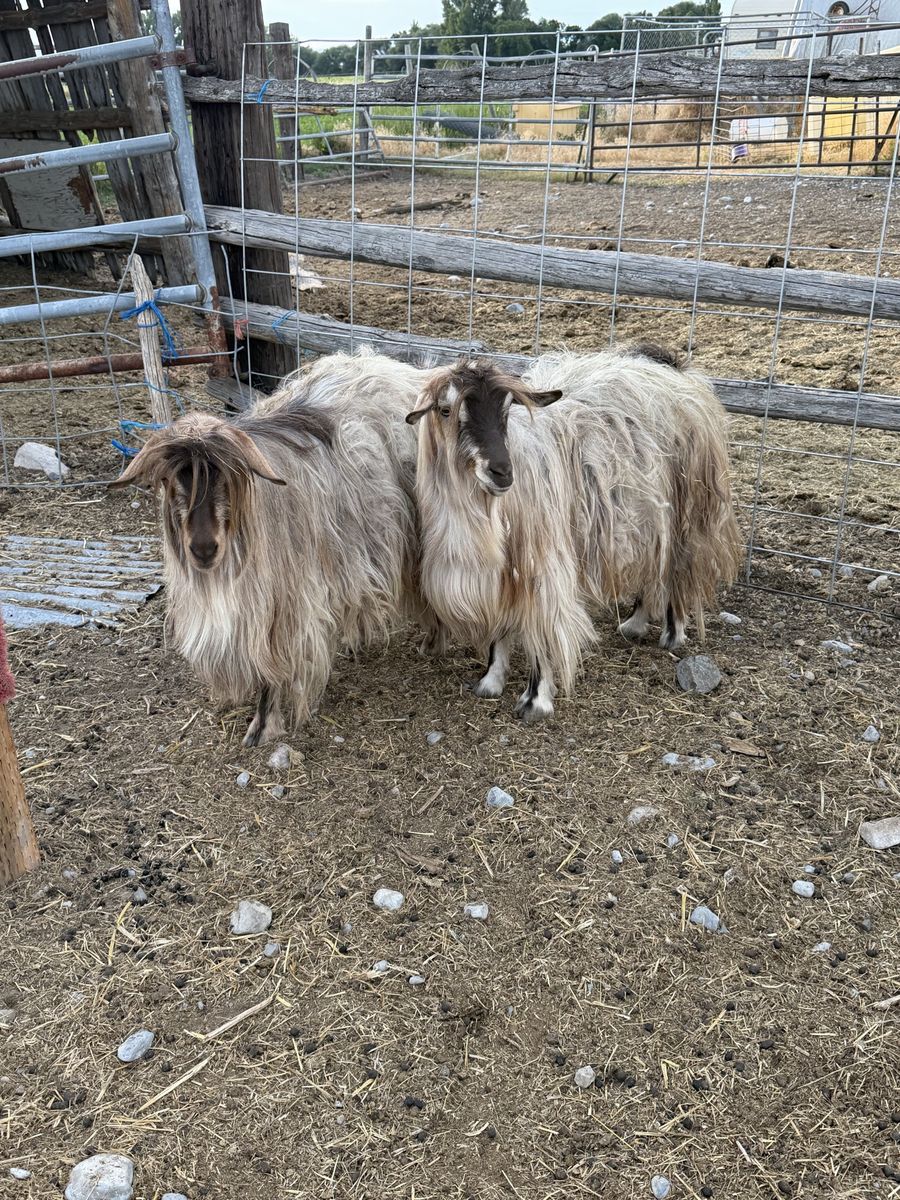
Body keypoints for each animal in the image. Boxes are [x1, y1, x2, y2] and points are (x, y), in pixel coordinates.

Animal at [111, 351, 434, 746]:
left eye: (227, 477)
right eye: (171, 479)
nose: (203, 549)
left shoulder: (284, 610)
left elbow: (273, 670)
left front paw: (264, 726)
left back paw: (432, 642)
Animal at [406, 344, 742, 722]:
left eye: (507, 409)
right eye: (446, 410)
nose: (502, 472)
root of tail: (673, 368)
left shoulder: (544, 560)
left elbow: (543, 625)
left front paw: (535, 699)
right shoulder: (504, 571)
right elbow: (500, 629)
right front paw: (491, 680)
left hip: (687, 506)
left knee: (677, 566)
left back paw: (674, 630)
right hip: (646, 514)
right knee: (651, 565)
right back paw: (635, 623)